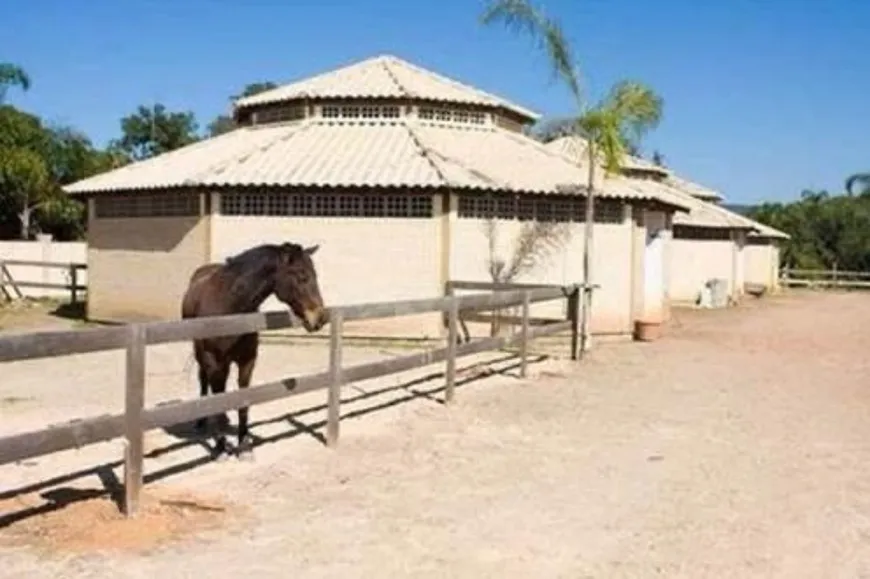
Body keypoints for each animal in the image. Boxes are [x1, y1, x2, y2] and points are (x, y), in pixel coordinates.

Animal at [179, 242, 328, 460]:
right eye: (302, 276)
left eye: (315, 275)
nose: (319, 318)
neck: (229, 306)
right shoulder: (214, 362)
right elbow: (218, 398)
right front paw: (220, 447)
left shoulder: (247, 361)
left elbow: (243, 401)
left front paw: (244, 446)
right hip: (203, 355)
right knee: (204, 381)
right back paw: (202, 422)